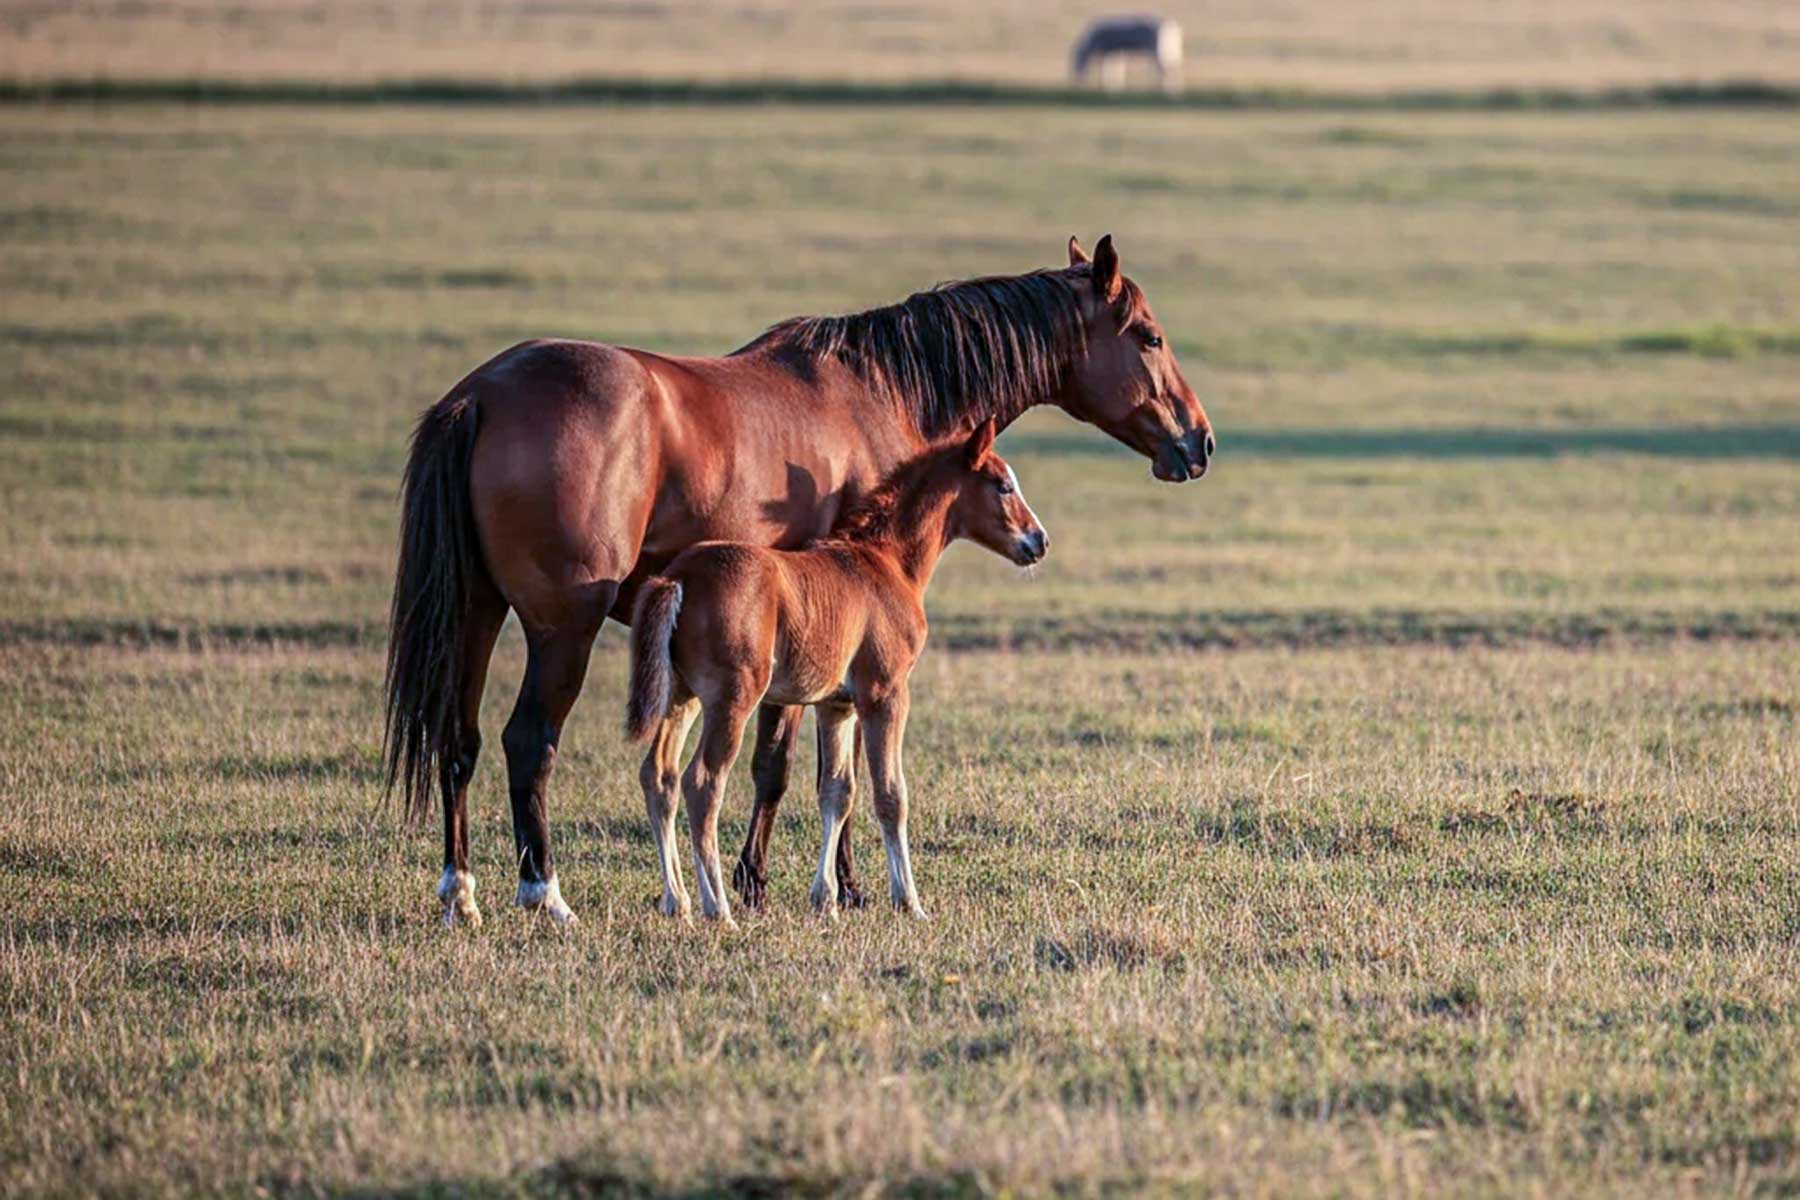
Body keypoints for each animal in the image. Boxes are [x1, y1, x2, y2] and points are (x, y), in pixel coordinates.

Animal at [624, 419, 1046, 923]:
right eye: (1003, 486)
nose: (1039, 541)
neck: (885, 562)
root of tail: (679, 577)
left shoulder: (836, 705)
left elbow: (837, 791)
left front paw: (825, 898)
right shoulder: (885, 692)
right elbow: (891, 795)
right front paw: (909, 901)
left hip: (681, 695)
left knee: (659, 777)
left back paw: (677, 901)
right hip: (732, 699)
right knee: (703, 784)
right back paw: (719, 908)